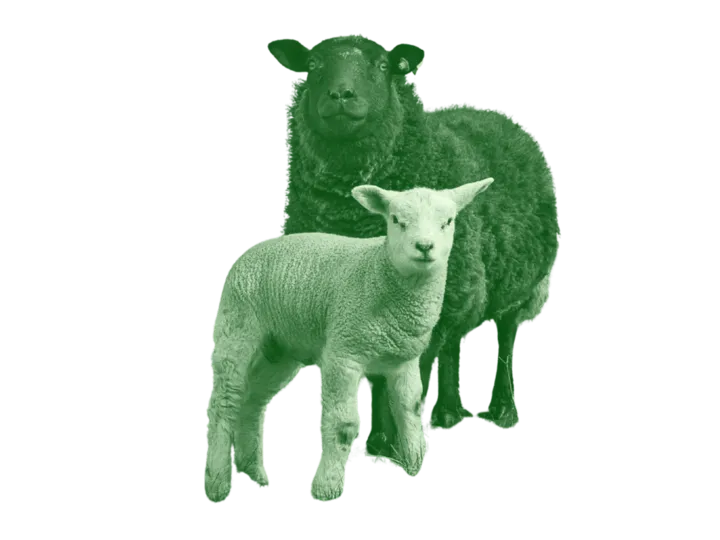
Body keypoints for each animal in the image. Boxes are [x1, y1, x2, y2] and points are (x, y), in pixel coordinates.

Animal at [202, 178, 494, 504]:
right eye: (396, 220)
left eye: (448, 222)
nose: (424, 247)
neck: (379, 273)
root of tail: (254, 249)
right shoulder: (344, 352)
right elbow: (344, 425)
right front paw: (326, 489)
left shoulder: (404, 360)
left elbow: (410, 411)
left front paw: (414, 467)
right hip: (237, 326)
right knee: (224, 403)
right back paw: (216, 484)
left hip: (279, 349)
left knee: (253, 401)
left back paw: (255, 473)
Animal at [266, 33, 561, 462]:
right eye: (314, 65)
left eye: (380, 66)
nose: (341, 94)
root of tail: (486, 109)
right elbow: (378, 375)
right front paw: (376, 444)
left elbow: (409, 378)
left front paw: (401, 446)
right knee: (454, 345)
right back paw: (447, 414)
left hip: (519, 283)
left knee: (505, 340)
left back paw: (503, 411)